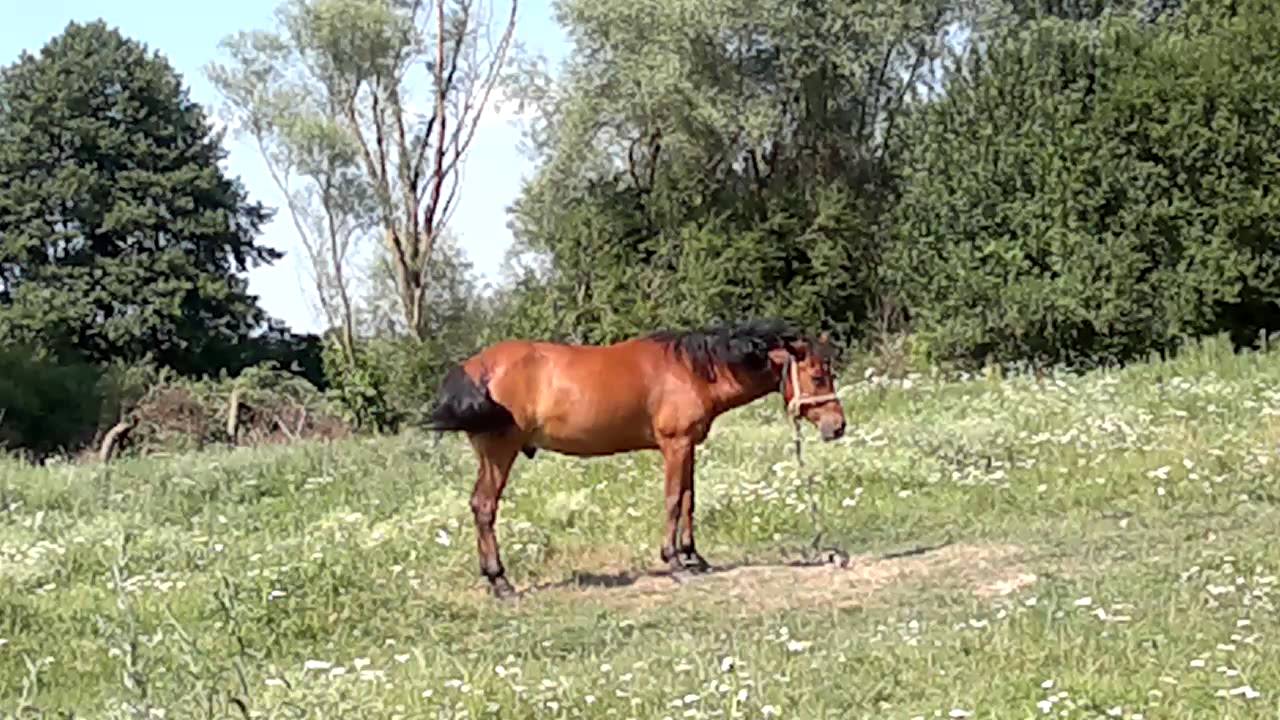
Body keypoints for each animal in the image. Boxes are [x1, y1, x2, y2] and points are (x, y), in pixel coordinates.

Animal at [425, 318, 847, 599]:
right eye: (817, 376)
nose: (838, 426)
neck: (693, 371)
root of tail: (475, 367)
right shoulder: (675, 445)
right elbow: (674, 500)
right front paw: (674, 561)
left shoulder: (688, 447)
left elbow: (690, 500)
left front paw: (694, 557)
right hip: (500, 453)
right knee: (484, 507)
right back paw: (501, 581)